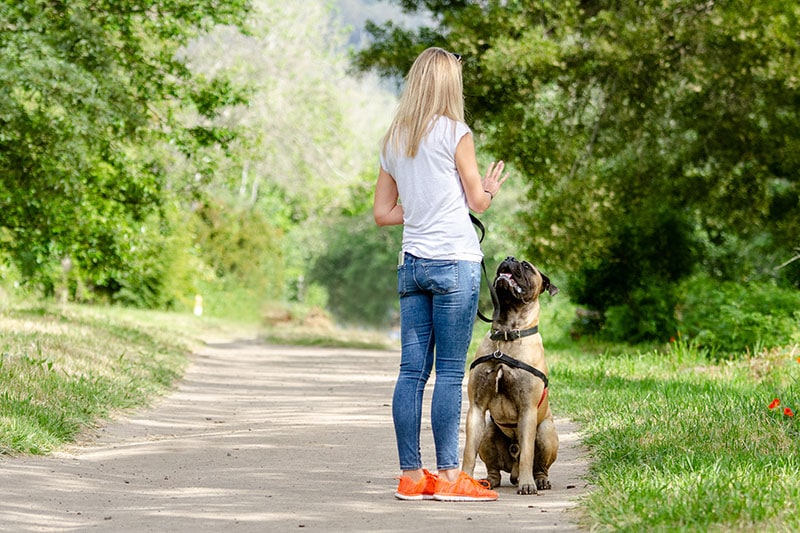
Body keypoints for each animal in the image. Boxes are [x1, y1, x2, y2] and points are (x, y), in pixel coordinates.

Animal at [460, 256, 560, 492]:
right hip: (488, 432)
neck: (506, 335)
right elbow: (468, 452)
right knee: (494, 469)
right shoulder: (476, 407)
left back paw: (539, 480)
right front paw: (464, 480)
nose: (509, 258)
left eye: (526, 266)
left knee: (538, 465)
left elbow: (527, 454)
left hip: (545, 431)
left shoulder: (527, 410)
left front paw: (527, 484)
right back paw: (489, 481)